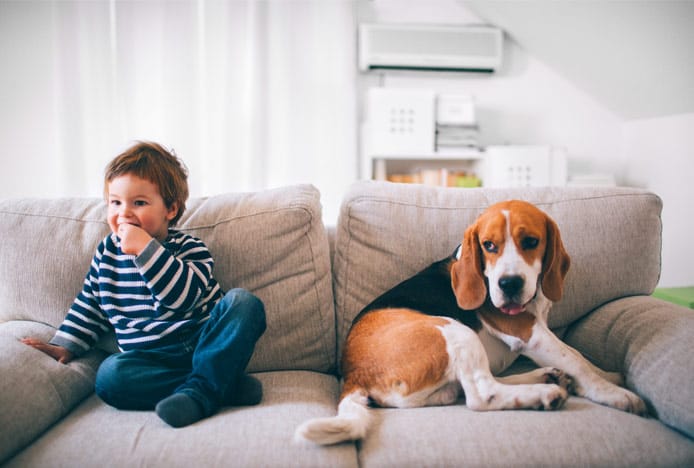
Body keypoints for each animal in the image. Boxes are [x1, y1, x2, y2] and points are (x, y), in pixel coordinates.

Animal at [296, 199, 648, 444]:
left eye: (531, 242)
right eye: (488, 245)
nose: (508, 285)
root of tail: (354, 375)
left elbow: (582, 358)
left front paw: (609, 375)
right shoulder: (530, 333)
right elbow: (576, 359)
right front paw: (615, 394)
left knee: (472, 388)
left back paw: (545, 377)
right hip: (456, 331)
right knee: (481, 395)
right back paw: (544, 393)